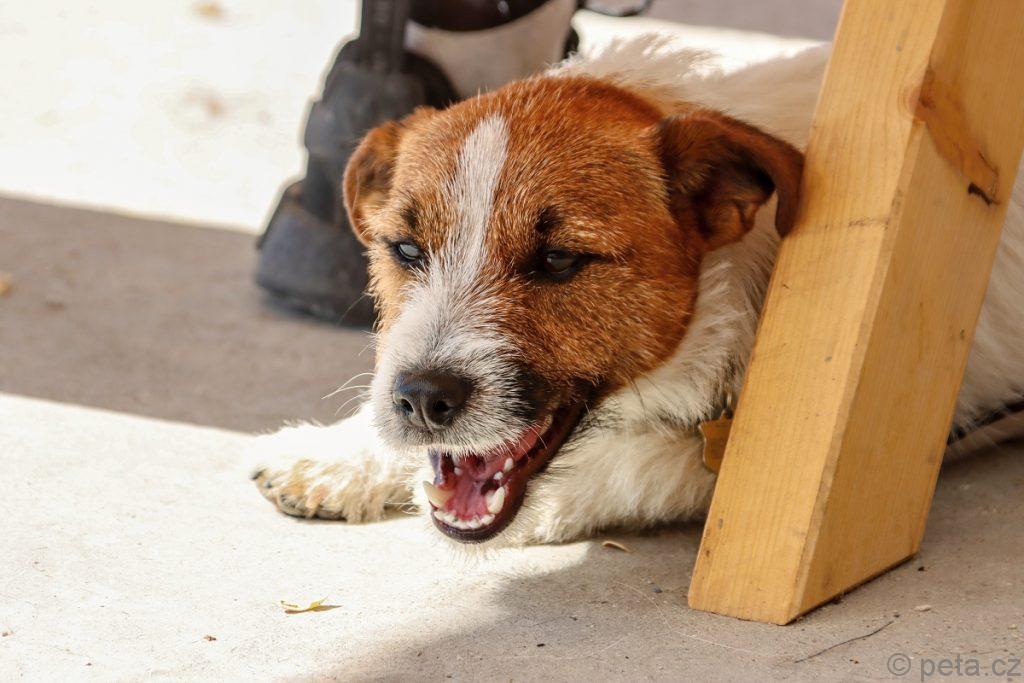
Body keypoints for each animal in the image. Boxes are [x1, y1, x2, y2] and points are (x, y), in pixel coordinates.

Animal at [252, 37, 1024, 546]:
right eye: (407, 250)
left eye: (560, 259)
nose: (420, 400)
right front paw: (337, 454)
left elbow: (656, 466)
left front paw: (552, 506)